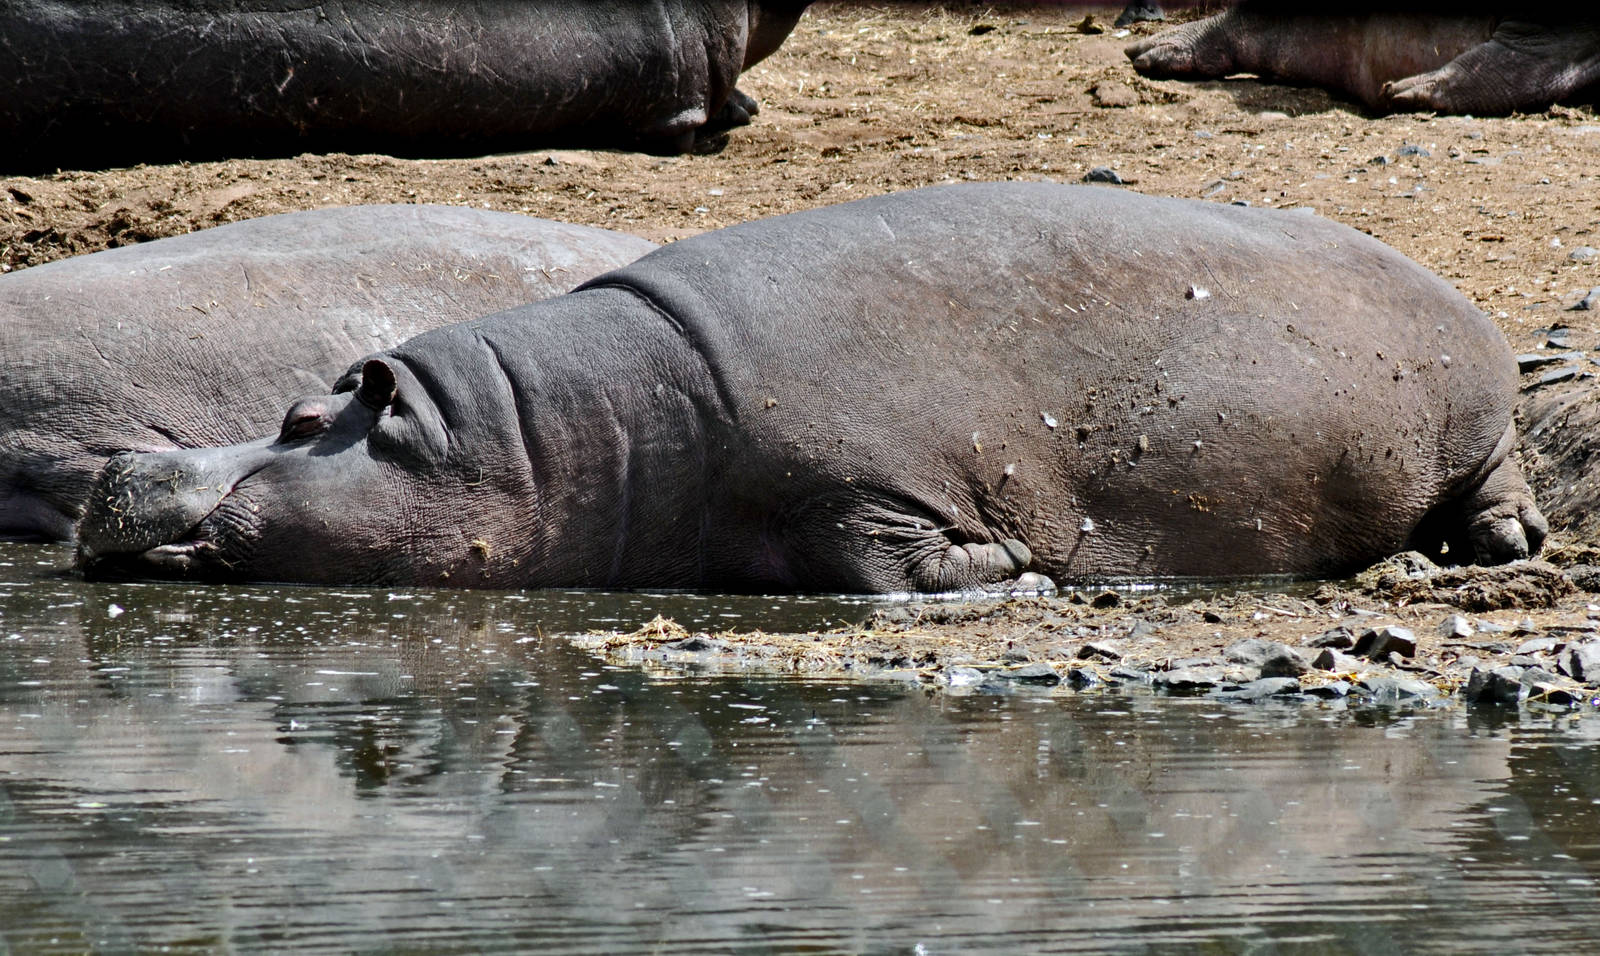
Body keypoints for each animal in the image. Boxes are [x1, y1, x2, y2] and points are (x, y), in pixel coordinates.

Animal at [75, 183, 1546, 592]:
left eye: (301, 419)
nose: (113, 463)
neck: (539, 440)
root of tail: (1445, 282)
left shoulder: (865, 481)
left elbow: (887, 557)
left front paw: (1010, 572)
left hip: (1470, 422)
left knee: (1497, 477)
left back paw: (1504, 546)